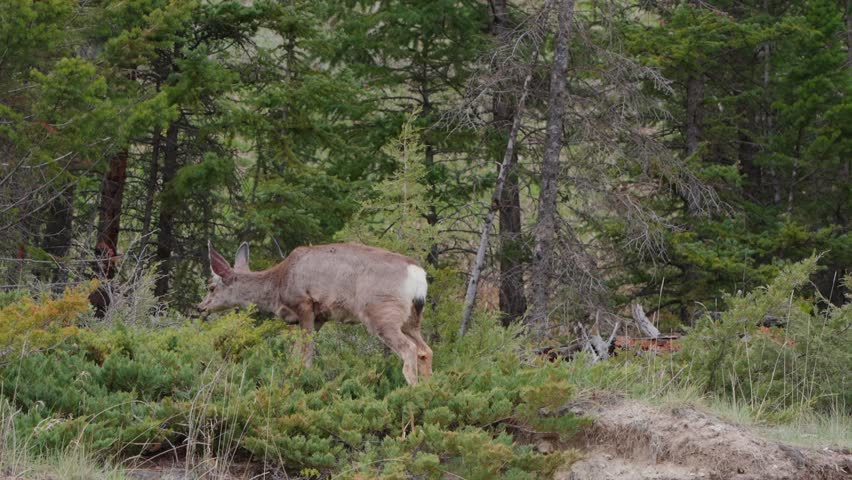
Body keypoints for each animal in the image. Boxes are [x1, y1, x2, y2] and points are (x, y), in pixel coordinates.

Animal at [198, 241, 432, 385]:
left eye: (211, 287)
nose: (200, 307)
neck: (278, 284)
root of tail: (417, 275)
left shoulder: (304, 304)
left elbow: (307, 353)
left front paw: (305, 378)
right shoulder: (320, 316)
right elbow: (296, 353)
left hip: (381, 312)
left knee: (409, 349)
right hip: (411, 319)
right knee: (425, 350)